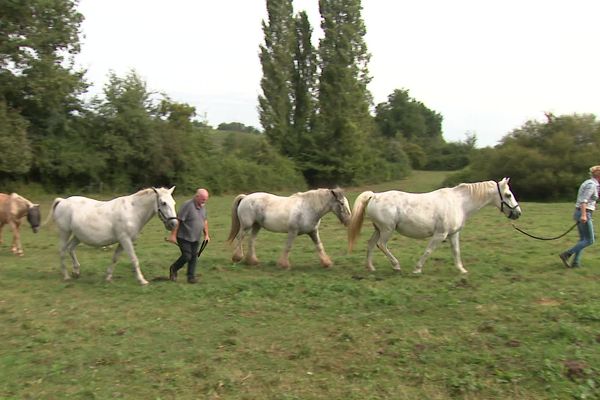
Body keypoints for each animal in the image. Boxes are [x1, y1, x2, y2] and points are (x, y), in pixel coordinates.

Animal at [47, 188, 177, 284]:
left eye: (174, 203)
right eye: (163, 203)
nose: (174, 224)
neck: (133, 211)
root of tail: (62, 201)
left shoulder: (122, 241)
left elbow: (115, 258)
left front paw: (108, 277)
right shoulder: (125, 240)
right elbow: (134, 259)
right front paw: (142, 280)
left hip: (78, 236)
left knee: (70, 249)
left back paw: (76, 272)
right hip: (64, 232)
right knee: (62, 251)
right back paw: (66, 276)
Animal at [346, 179, 520, 276]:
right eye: (508, 195)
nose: (518, 213)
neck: (459, 203)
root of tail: (374, 195)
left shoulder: (453, 234)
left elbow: (456, 252)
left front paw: (462, 271)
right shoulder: (440, 235)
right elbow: (428, 251)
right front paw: (417, 269)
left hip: (378, 229)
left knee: (370, 244)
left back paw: (371, 267)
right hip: (387, 230)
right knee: (381, 245)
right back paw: (396, 266)